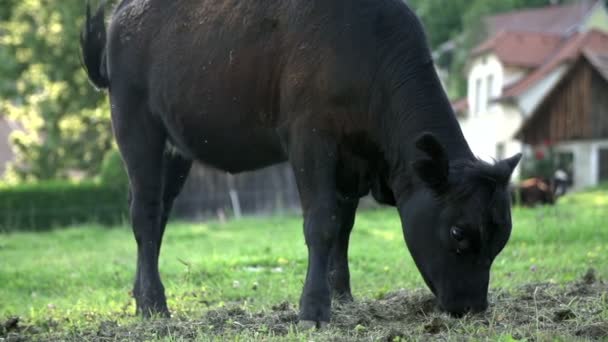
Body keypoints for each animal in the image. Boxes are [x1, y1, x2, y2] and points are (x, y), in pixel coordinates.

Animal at [79, 0, 516, 326]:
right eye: (459, 232)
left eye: (501, 239)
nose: (472, 308)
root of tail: (123, 11)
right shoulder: (310, 137)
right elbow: (321, 223)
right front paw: (314, 309)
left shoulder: (354, 160)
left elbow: (344, 226)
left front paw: (342, 295)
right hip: (136, 126)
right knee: (145, 214)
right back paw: (154, 305)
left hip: (177, 149)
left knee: (159, 214)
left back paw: (142, 298)